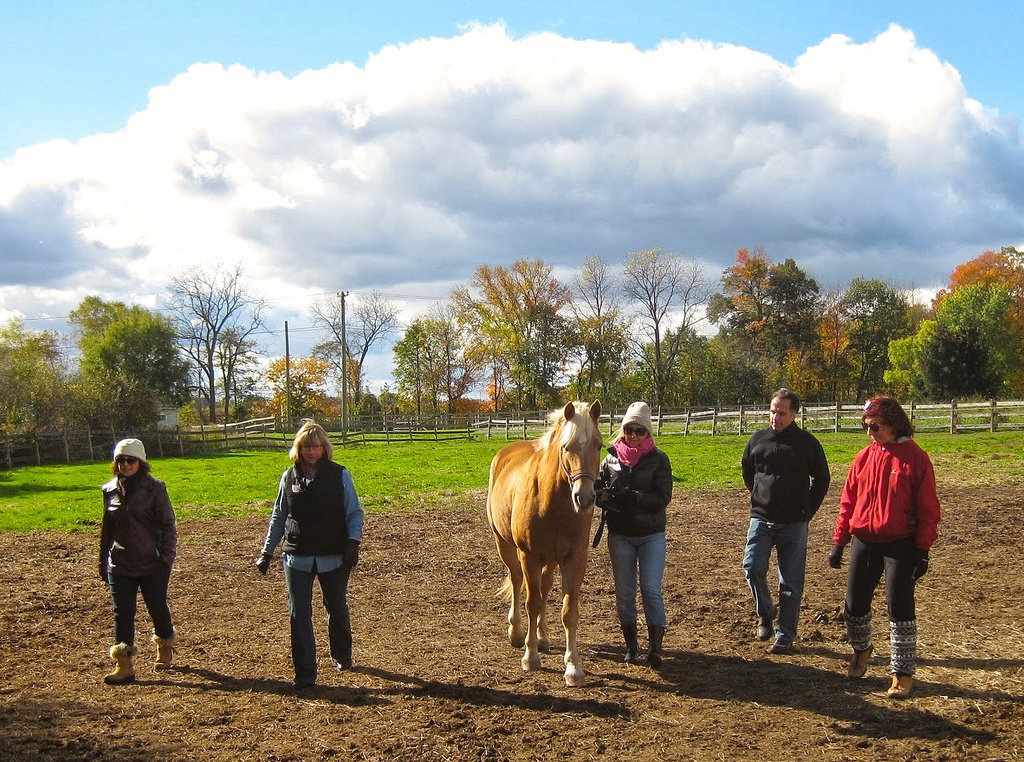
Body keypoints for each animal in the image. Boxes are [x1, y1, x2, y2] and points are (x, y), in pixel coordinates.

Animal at [486, 400, 603, 687]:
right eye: (566, 446)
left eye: (599, 445)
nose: (584, 498)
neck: (553, 503)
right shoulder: (529, 557)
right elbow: (532, 603)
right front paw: (530, 657)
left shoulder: (574, 560)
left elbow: (568, 611)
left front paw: (573, 667)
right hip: (506, 547)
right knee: (517, 582)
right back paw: (517, 633)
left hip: (550, 561)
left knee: (545, 588)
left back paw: (543, 637)